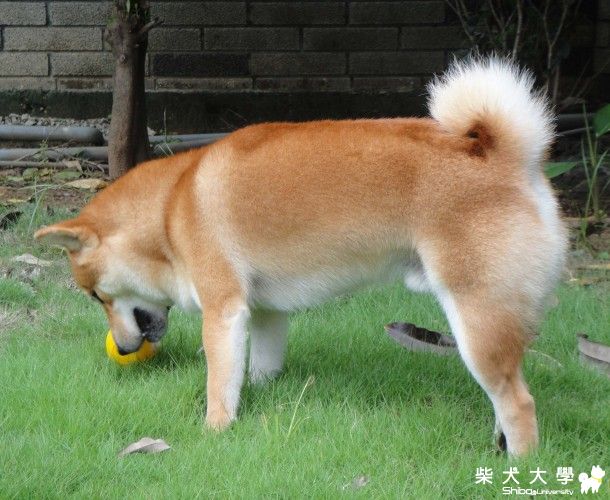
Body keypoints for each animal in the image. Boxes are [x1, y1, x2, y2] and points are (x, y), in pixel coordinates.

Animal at [35, 57, 567, 457]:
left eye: (96, 297)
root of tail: (508, 157)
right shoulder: (264, 311)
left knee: (519, 402)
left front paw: (214, 431)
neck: (170, 207)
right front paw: (262, 395)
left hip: (476, 320)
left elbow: (219, 383)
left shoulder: (223, 310)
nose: (124, 351)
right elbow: (260, 367)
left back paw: (518, 467)